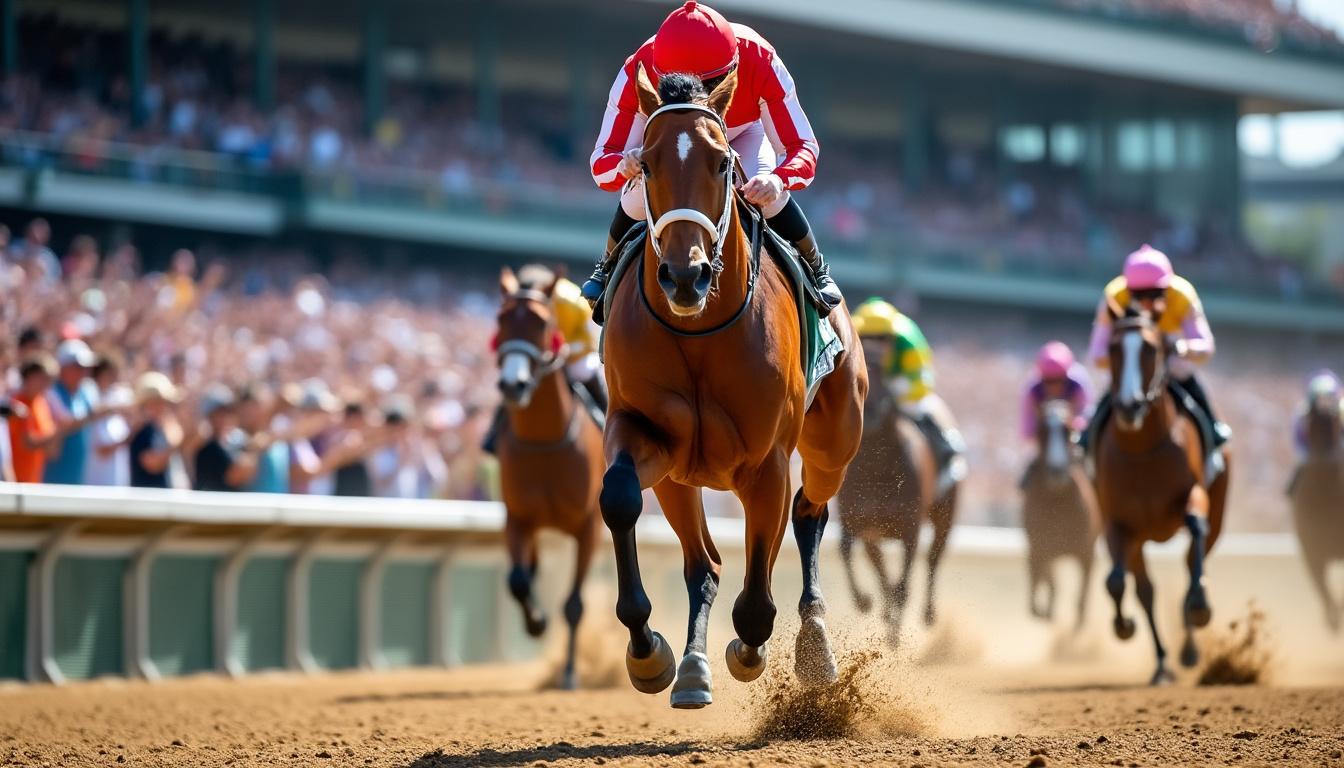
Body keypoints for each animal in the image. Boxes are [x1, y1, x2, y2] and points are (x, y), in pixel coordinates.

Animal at [493, 265, 606, 689]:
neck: (545, 443)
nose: (514, 384)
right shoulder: (518, 517)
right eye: (501, 319)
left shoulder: (589, 525)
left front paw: (571, 674)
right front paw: (536, 622)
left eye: (542, 323)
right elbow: (518, 580)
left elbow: (574, 604)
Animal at [597, 67, 866, 708]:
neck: (699, 331)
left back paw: (814, 644)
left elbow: (757, 601)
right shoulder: (645, 433)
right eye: (646, 165)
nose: (685, 276)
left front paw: (751, 650)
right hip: (679, 477)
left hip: (834, 442)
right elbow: (618, 497)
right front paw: (648, 651)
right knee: (705, 564)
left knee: (810, 511)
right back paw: (691, 668)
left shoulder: (766, 462)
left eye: (722, 164)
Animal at [836, 341, 955, 644]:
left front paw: (892, 637)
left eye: (883, 370)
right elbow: (845, 550)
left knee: (933, 558)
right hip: (873, 535)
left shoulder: (910, 527)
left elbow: (903, 585)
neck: (877, 469)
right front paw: (864, 602)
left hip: (945, 516)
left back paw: (927, 614)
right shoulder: (855, 520)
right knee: (880, 568)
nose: (870, 409)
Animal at [1021, 399, 1100, 630]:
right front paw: (1045, 613)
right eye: (1041, 432)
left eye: (1069, 430)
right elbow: (1045, 590)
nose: (1057, 471)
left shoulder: (1086, 552)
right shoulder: (1040, 548)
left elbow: (1081, 601)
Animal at [1095, 304, 1229, 685]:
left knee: (1192, 560)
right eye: (1113, 348)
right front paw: (1123, 625)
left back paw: (1189, 648)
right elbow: (1115, 581)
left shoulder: (1195, 495)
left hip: (1218, 511)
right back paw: (1161, 664)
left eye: (1151, 349)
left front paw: (1200, 605)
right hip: (1138, 538)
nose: (1129, 406)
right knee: (1146, 590)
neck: (1142, 449)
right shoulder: (1116, 520)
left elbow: (1195, 526)